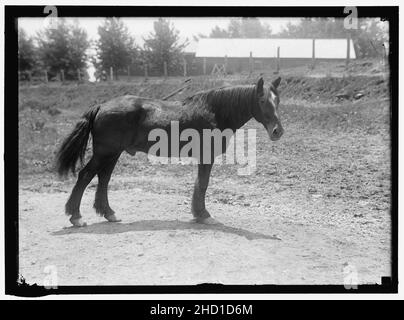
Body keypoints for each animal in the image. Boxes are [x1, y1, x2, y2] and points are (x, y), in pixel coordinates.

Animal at [55, 77, 284, 228]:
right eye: (262, 101)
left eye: (278, 100)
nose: (277, 131)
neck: (215, 111)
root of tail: (101, 106)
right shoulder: (206, 156)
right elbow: (203, 184)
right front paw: (203, 215)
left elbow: (199, 184)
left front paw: (198, 214)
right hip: (105, 153)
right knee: (86, 176)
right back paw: (76, 217)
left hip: (112, 154)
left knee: (103, 179)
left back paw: (109, 214)